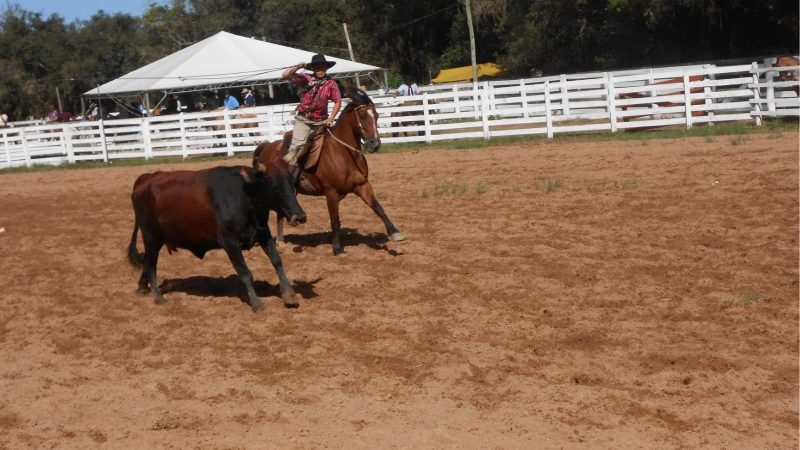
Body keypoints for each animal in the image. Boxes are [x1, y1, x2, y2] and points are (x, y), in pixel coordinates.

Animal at [252, 86, 404, 255]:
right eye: (363, 116)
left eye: (376, 115)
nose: (374, 144)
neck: (343, 152)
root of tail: (266, 147)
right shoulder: (331, 192)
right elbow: (335, 220)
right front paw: (337, 249)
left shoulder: (362, 185)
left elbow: (378, 207)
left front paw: (395, 233)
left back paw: (281, 241)